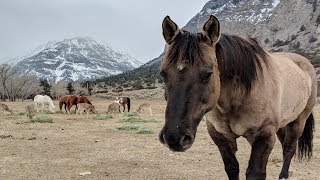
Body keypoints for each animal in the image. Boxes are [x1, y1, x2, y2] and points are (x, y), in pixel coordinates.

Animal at [159, 14, 316, 179]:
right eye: (163, 73)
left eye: (208, 74)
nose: (174, 138)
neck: (239, 98)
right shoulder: (220, 135)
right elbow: (232, 168)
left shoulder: (264, 135)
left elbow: (255, 172)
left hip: (298, 121)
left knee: (289, 149)